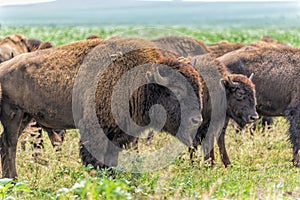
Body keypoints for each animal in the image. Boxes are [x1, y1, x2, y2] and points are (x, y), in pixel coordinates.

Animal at [0, 38, 204, 178]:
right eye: (174, 92)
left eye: (198, 88)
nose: (197, 120)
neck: (140, 81)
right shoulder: (94, 132)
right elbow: (96, 161)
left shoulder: (118, 135)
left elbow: (111, 161)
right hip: (12, 115)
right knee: (9, 144)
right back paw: (13, 180)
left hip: (25, 116)